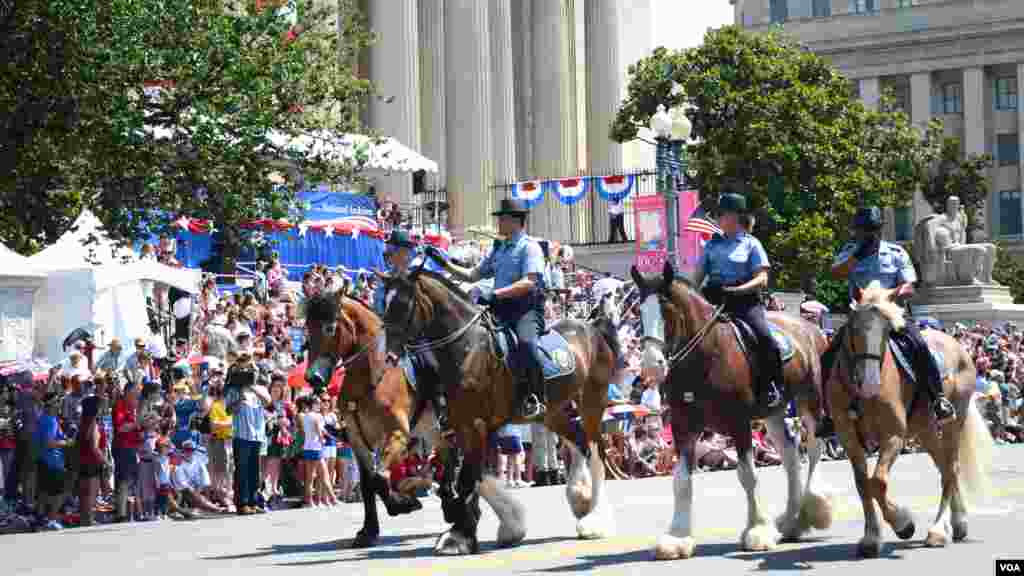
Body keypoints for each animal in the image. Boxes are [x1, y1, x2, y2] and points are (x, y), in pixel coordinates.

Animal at [303, 291, 432, 545]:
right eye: (307, 328)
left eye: (330, 328)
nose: (313, 378)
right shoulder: (357, 439)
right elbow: (368, 482)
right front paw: (368, 531)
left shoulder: (396, 435)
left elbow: (379, 477)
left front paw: (403, 504)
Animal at [382, 270, 618, 557]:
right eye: (384, 303)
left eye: (403, 305)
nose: (389, 354)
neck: (468, 348)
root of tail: (592, 328)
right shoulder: (462, 426)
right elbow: (468, 477)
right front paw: (479, 527)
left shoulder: (475, 425)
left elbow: (467, 479)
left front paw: (459, 536)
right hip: (551, 412)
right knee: (580, 442)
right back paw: (580, 499)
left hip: (591, 401)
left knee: (596, 451)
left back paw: (595, 520)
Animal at [626, 261, 835, 561]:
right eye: (639, 313)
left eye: (667, 311)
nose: (651, 367)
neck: (706, 356)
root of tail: (811, 328)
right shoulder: (683, 424)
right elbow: (681, 480)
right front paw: (677, 537)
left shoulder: (739, 422)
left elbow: (748, 475)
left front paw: (757, 531)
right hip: (774, 413)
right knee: (790, 454)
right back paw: (791, 522)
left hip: (809, 401)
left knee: (815, 448)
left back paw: (814, 508)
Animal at [831, 282, 991, 557]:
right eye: (854, 327)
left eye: (888, 330)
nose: (870, 383)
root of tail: (957, 344)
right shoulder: (848, 437)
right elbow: (863, 484)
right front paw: (871, 538)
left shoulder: (893, 435)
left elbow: (878, 482)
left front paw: (903, 524)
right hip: (925, 430)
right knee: (944, 468)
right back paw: (957, 523)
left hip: (952, 423)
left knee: (951, 469)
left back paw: (939, 531)